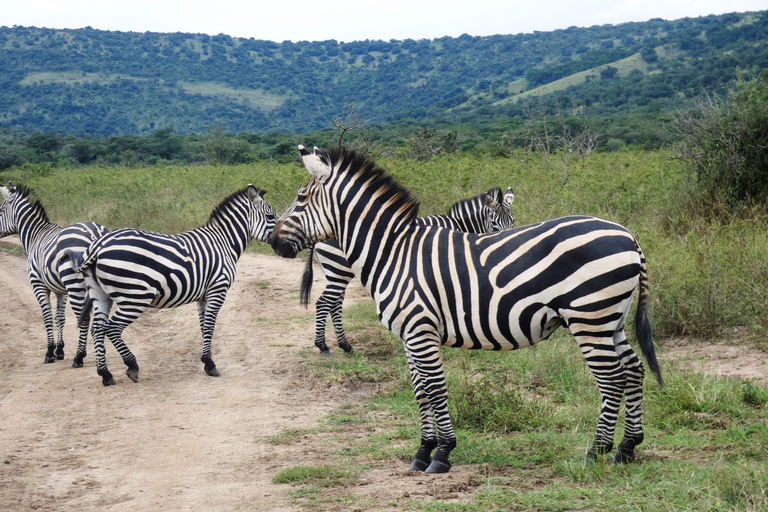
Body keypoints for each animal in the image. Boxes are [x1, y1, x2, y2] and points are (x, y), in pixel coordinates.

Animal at [0, 182, 109, 366]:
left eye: (0, 210)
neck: (35, 236)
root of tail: (95, 233)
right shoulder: (60, 290)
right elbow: (60, 318)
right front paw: (60, 350)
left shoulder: (38, 285)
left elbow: (48, 317)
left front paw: (50, 352)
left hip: (75, 284)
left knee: (84, 318)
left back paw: (79, 357)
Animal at [68, 184, 280, 384]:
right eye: (270, 216)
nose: (282, 243)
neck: (224, 242)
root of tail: (99, 245)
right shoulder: (217, 289)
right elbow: (210, 325)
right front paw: (210, 364)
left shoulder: (203, 296)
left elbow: (203, 326)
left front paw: (205, 361)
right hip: (135, 296)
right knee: (111, 328)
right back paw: (131, 366)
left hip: (100, 294)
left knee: (97, 328)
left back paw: (105, 374)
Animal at [302, 185, 516, 356]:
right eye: (494, 224)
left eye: (512, 221)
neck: (460, 227)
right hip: (339, 270)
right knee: (324, 303)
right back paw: (323, 346)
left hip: (336, 273)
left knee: (335, 305)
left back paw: (345, 346)